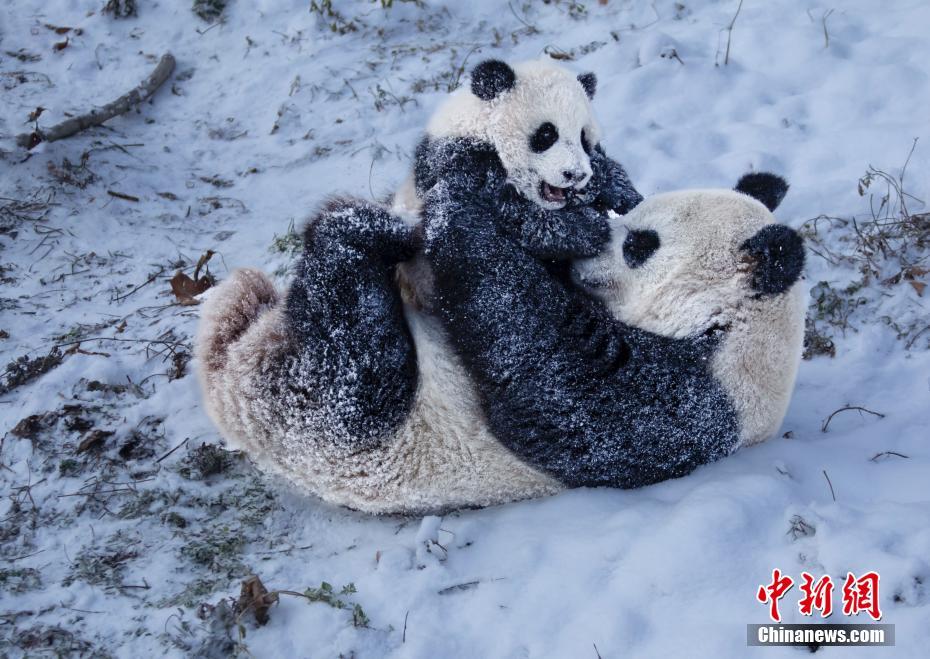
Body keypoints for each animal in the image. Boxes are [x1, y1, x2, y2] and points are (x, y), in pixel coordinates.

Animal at [198, 60, 804, 516]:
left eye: (640, 244)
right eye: (635, 220)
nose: (591, 243)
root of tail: (231, 375)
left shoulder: (674, 410)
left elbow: (533, 356)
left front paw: (464, 203)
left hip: (336, 423)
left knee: (350, 345)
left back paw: (358, 230)